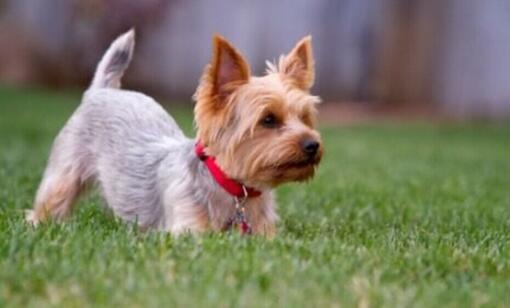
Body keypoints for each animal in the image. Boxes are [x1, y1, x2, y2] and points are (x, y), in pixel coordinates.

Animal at [25, 29, 322, 236]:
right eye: (268, 120)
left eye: (305, 118)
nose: (313, 145)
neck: (233, 189)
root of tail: (101, 90)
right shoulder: (187, 230)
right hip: (66, 171)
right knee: (52, 200)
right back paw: (39, 222)